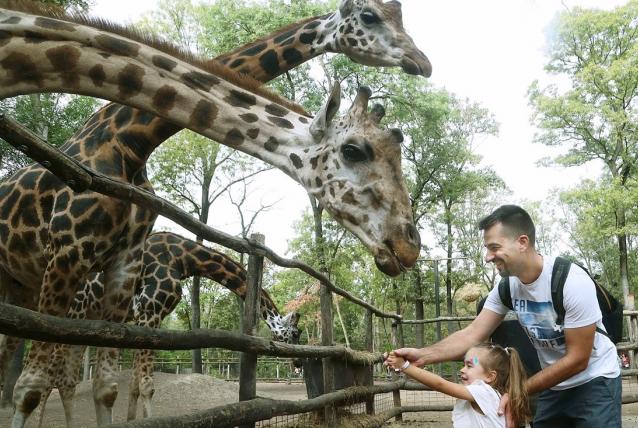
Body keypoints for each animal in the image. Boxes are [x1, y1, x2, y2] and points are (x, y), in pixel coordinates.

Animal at [35, 232, 302, 426]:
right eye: (295, 334)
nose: (299, 362)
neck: (182, 259)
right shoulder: (149, 311)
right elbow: (146, 386)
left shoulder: (146, 319)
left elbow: (134, 384)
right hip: (71, 313)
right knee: (47, 379)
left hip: (84, 321)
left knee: (66, 381)